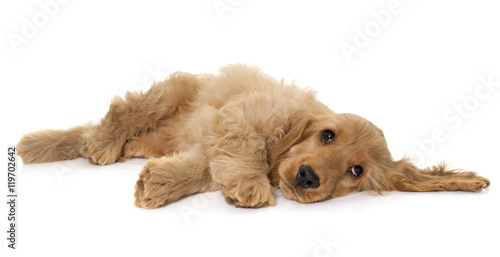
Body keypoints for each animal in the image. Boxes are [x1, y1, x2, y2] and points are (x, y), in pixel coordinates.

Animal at [17, 64, 490, 208]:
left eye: (356, 171)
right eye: (327, 136)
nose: (307, 177)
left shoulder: (208, 147)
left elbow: (201, 170)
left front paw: (160, 183)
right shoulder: (239, 115)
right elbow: (247, 150)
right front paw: (251, 183)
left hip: (156, 138)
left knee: (105, 137)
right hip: (168, 93)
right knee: (122, 110)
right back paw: (101, 142)